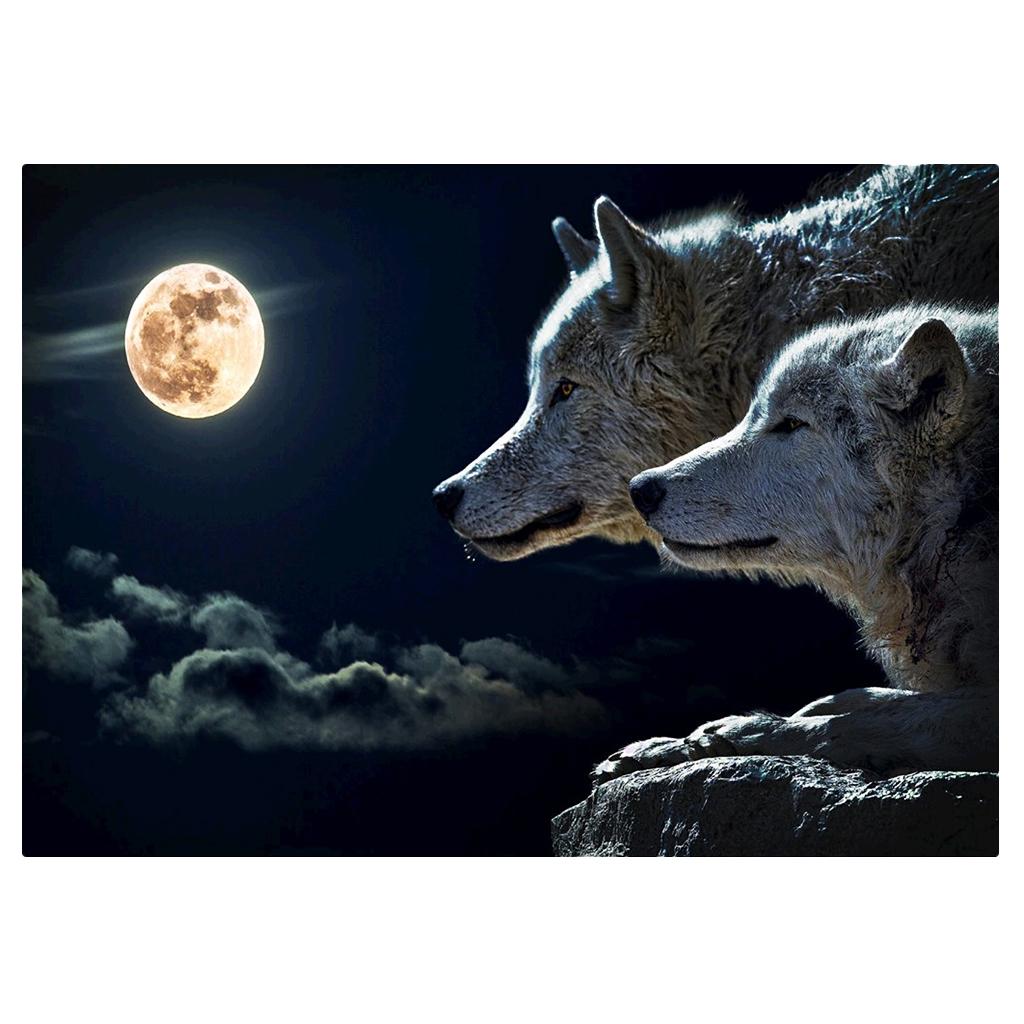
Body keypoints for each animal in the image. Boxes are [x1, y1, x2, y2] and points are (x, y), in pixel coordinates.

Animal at [594, 305, 998, 783]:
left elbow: (853, 723)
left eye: (791, 424)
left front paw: (729, 735)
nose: (640, 489)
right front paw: (666, 746)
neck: (957, 517)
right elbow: (859, 699)